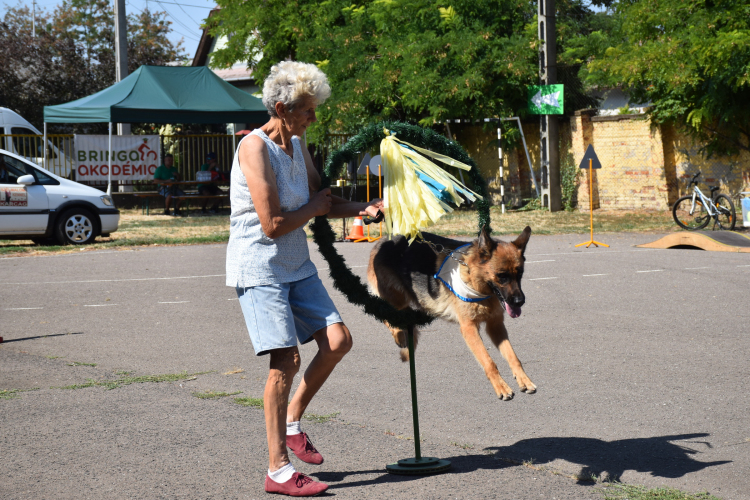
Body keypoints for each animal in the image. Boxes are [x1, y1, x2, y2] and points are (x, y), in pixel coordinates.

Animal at [368, 225, 536, 400]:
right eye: (502, 276)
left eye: (520, 274)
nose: (520, 301)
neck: (473, 279)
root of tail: (384, 240)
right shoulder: (469, 328)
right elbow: (489, 362)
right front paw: (501, 387)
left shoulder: (495, 326)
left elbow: (513, 357)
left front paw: (524, 379)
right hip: (396, 302)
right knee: (386, 316)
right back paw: (401, 336)